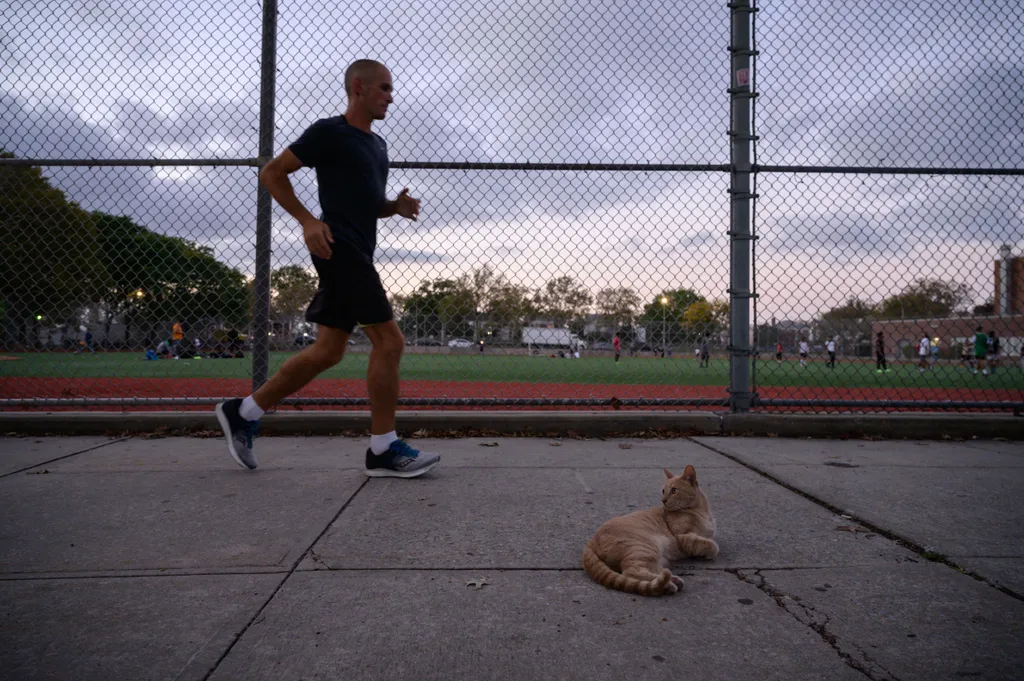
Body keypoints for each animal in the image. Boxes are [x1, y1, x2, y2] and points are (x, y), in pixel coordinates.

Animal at [585, 462, 720, 593]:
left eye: (674, 490)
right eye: (663, 491)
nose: (663, 500)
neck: (701, 511)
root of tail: (590, 542)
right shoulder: (683, 537)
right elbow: (711, 545)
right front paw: (709, 553)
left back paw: (673, 581)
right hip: (644, 547)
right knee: (631, 573)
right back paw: (667, 586)